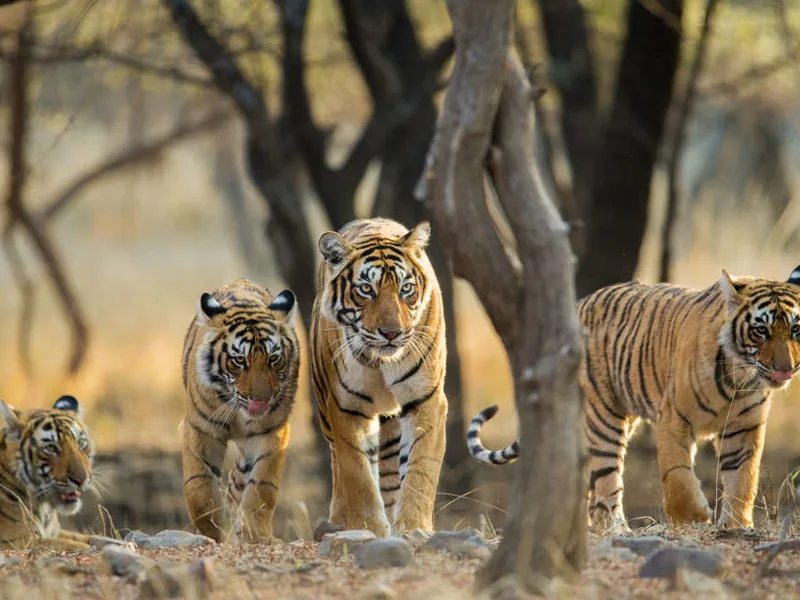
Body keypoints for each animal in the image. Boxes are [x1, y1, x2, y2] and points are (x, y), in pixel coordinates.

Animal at [0, 395, 95, 550]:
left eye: (81, 443)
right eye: (51, 448)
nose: (81, 480)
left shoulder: (55, 531)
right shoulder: (17, 541)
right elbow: (67, 544)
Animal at [180, 278, 299, 543]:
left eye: (274, 358)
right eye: (239, 361)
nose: (262, 400)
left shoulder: (271, 431)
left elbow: (262, 487)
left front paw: (255, 536)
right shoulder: (201, 428)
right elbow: (199, 488)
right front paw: (215, 533)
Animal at [310, 218, 447, 536]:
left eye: (406, 288)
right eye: (366, 290)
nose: (392, 333)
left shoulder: (426, 399)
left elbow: (420, 470)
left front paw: (413, 528)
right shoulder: (346, 407)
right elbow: (358, 475)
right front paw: (368, 527)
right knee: (340, 467)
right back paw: (338, 521)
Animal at [467, 266, 800, 531]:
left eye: (796, 329)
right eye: (761, 330)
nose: (786, 368)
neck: (739, 378)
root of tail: (579, 304)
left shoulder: (744, 428)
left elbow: (743, 478)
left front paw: (736, 525)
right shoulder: (674, 419)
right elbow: (677, 476)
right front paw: (694, 518)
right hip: (603, 418)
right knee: (606, 479)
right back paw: (614, 528)